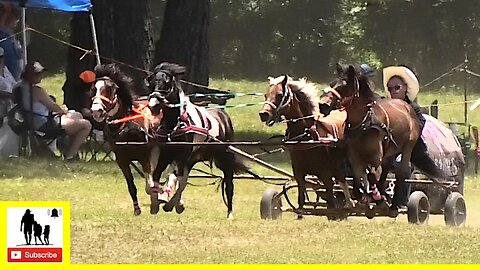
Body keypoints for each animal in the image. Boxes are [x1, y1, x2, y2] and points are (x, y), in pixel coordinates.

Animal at [258, 75, 356, 218]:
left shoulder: (325, 174)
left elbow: (331, 202)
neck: (306, 137)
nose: (263, 114)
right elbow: (301, 201)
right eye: (266, 95)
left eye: (280, 95)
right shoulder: (299, 174)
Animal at [324, 62, 444, 215]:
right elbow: (358, 178)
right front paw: (364, 197)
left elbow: (372, 175)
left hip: (407, 147)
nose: (323, 105)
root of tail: (406, 106)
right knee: (386, 169)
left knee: (401, 172)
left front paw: (377, 198)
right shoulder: (354, 156)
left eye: (344, 86)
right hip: (391, 150)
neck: (363, 123)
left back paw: (393, 204)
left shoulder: (376, 156)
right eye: (332, 84)